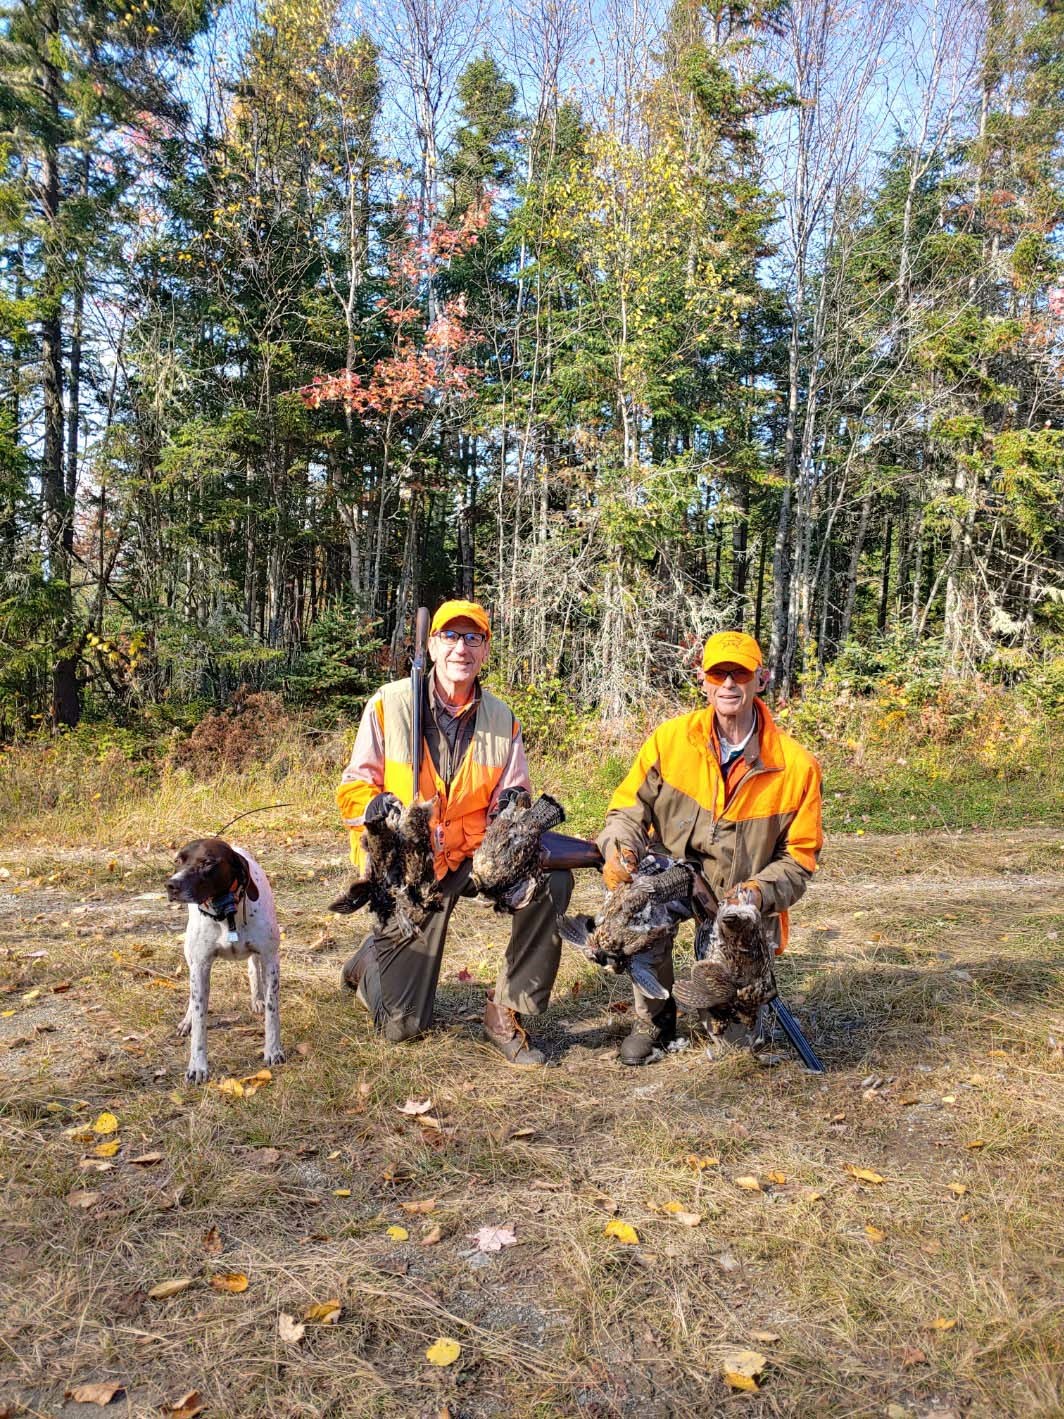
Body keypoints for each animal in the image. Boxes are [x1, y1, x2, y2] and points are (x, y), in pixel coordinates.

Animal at [164, 834, 285, 1078]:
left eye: (208, 862)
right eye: (178, 860)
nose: (172, 885)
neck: (225, 912)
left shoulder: (270, 959)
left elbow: (272, 1011)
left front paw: (273, 1050)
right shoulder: (201, 966)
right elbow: (200, 1019)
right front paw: (197, 1066)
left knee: (253, 968)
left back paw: (257, 999)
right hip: (190, 956)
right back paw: (187, 1020)